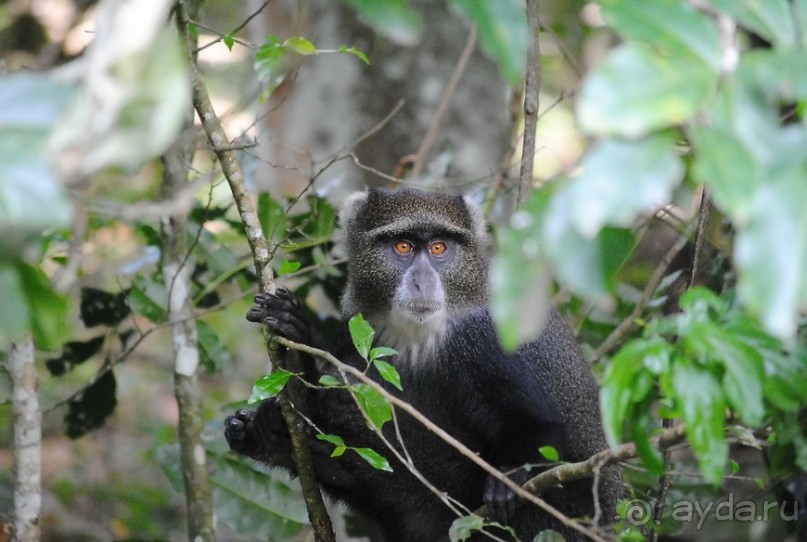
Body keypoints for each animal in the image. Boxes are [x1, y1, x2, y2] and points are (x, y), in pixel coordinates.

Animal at [227, 189, 624, 540]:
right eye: (403, 246)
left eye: (439, 248)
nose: (422, 281)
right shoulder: (353, 327)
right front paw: (293, 365)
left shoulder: (484, 339)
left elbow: (537, 424)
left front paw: (509, 479)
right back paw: (276, 439)